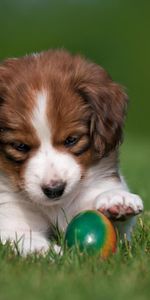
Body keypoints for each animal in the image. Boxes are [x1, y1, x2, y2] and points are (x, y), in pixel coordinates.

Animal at [0, 49, 143, 253]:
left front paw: (117, 200)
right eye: (20, 146)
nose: (54, 190)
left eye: (71, 140)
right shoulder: (11, 219)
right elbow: (26, 241)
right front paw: (55, 254)